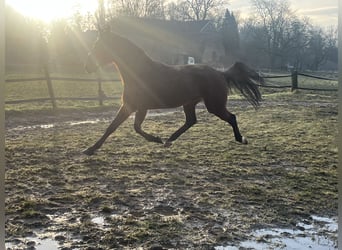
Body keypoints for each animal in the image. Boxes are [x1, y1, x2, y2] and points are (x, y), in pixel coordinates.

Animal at [82, 30, 262, 155]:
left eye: (98, 46)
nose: (87, 66)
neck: (139, 73)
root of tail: (220, 73)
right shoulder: (129, 105)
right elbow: (111, 127)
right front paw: (90, 149)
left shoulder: (140, 107)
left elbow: (135, 127)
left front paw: (156, 139)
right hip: (190, 103)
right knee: (191, 121)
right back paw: (169, 140)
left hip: (214, 106)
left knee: (231, 117)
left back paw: (241, 139)